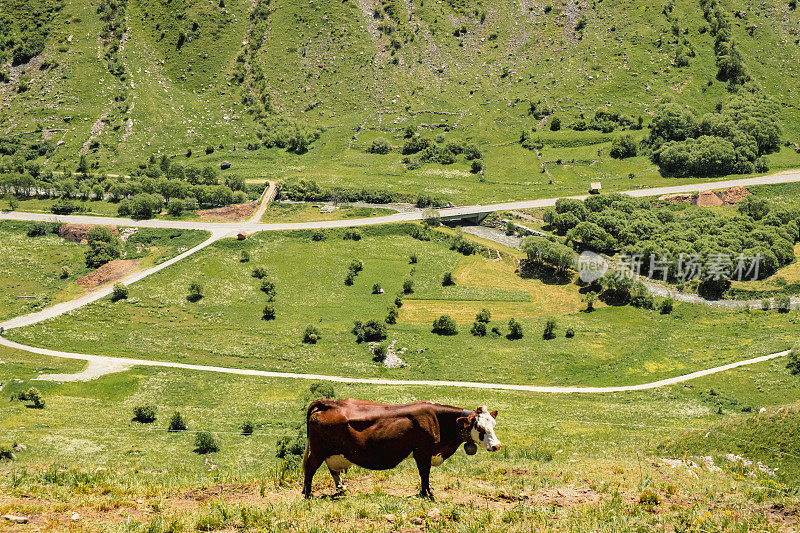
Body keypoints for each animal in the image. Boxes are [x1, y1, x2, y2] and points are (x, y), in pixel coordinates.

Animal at [302, 400, 500, 498]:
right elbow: (424, 474)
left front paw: (425, 492)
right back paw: (308, 493)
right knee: (309, 469)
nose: (497, 446)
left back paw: (341, 488)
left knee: (332, 470)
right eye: (480, 428)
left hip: (333, 453)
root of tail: (330, 404)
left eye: (494, 424)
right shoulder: (423, 452)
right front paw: (427, 494)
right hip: (318, 451)